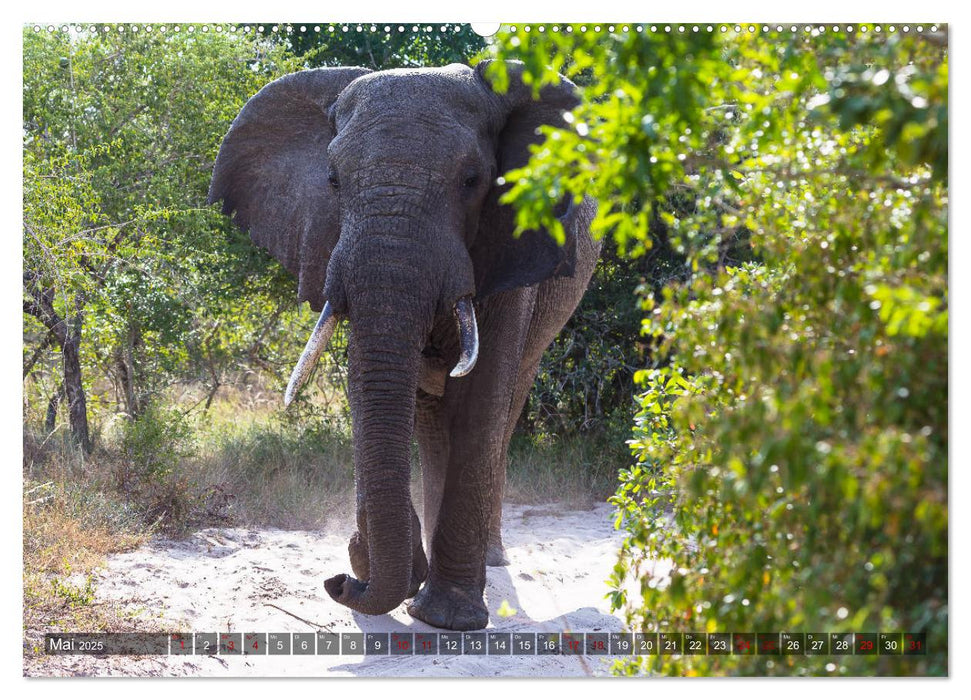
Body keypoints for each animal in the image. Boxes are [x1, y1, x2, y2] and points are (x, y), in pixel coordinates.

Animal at [208, 58, 600, 628]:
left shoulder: (513, 248)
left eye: (472, 180)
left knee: (503, 409)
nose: (340, 582)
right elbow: (367, 387)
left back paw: (488, 561)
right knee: (434, 424)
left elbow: (480, 402)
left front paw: (446, 617)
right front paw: (378, 564)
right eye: (332, 180)